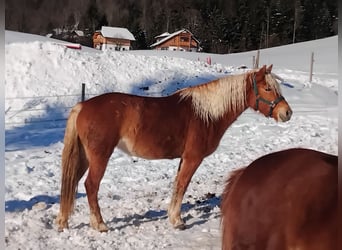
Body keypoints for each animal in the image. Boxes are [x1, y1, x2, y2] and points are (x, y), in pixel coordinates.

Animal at [55, 65, 292, 232]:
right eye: (268, 88)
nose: (287, 113)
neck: (206, 113)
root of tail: (83, 106)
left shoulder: (183, 159)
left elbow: (177, 186)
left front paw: (173, 217)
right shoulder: (192, 158)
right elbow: (182, 186)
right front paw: (178, 221)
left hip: (84, 157)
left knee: (72, 182)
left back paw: (63, 221)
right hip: (99, 156)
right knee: (90, 186)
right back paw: (100, 224)